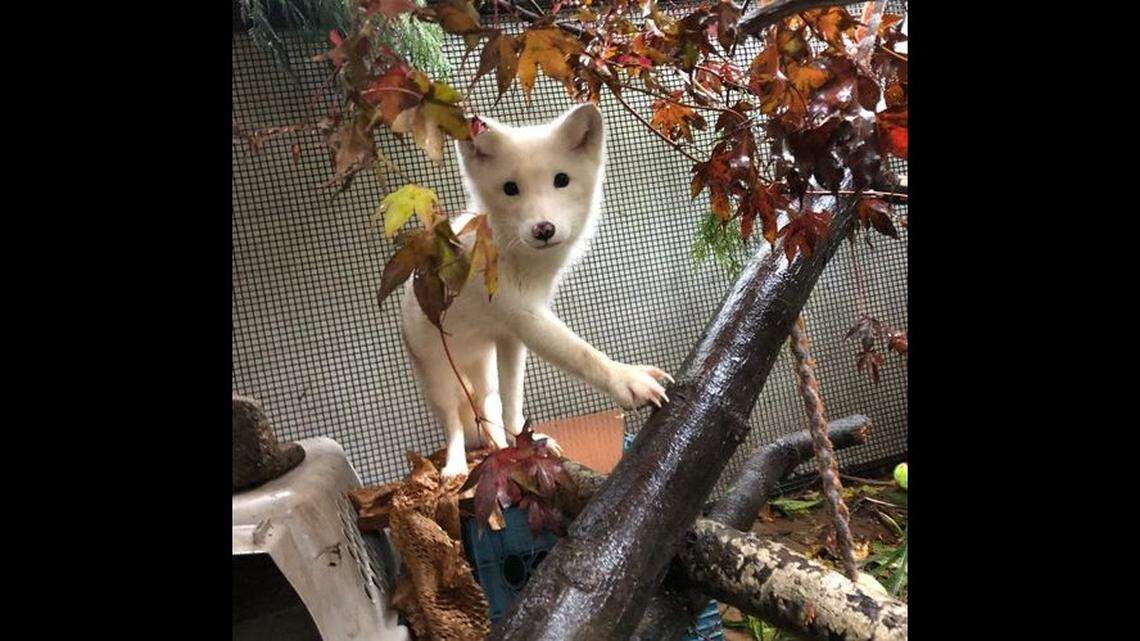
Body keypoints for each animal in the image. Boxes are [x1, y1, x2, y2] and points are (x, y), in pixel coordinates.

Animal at [400, 103, 673, 480]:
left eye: (561, 180)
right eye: (510, 188)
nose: (543, 229)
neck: (519, 259)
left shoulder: (512, 336)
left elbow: (514, 404)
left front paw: (524, 443)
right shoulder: (522, 313)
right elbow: (580, 353)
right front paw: (626, 379)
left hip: (487, 367)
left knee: (490, 408)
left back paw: (498, 446)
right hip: (439, 377)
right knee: (454, 424)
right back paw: (455, 465)